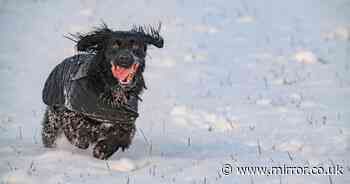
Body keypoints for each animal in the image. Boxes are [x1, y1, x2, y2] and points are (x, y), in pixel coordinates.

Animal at [41, 23, 165, 160]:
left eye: (135, 46)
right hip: (53, 118)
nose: (124, 59)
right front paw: (85, 138)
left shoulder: (126, 120)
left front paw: (102, 150)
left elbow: (121, 135)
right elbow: (78, 125)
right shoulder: (70, 110)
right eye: (114, 45)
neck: (113, 90)